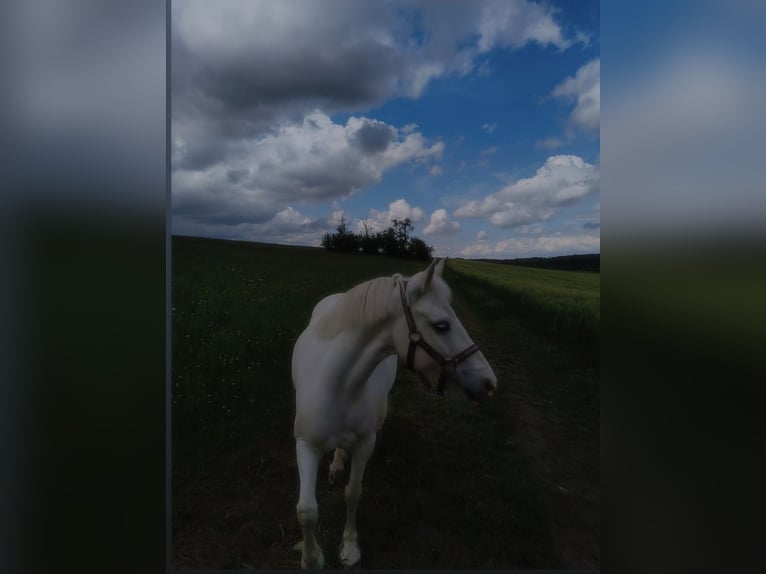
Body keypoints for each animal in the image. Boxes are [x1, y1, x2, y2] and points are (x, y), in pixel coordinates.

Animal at [291, 258, 497, 569]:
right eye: (441, 325)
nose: (489, 383)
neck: (337, 384)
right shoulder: (305, 444)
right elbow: (306, 510)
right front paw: (312, 559)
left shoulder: (365, 442)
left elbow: (353, 493)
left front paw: (349, 548)